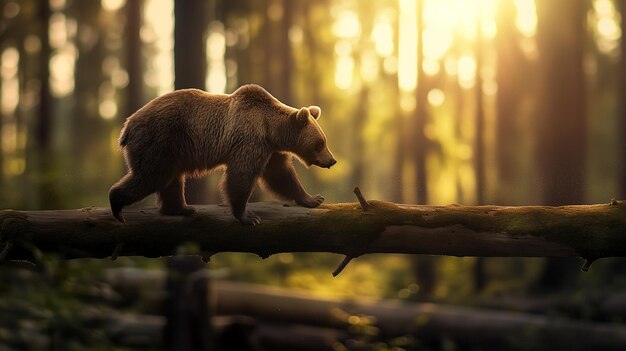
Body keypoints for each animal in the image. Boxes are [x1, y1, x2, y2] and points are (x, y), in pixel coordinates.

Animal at [108, 84, 332, 226]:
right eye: (320, 143)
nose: (332, 160)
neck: (270, 129)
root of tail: (127, 126)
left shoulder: (271, 149)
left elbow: (280, 175)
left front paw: (313, 198)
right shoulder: (250, 140)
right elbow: (241, 175)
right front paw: (248, 216)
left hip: (172, 150)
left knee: (171, 179)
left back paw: (181, 208)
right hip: (159, 139)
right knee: (151, 176)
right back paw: (117, 203)